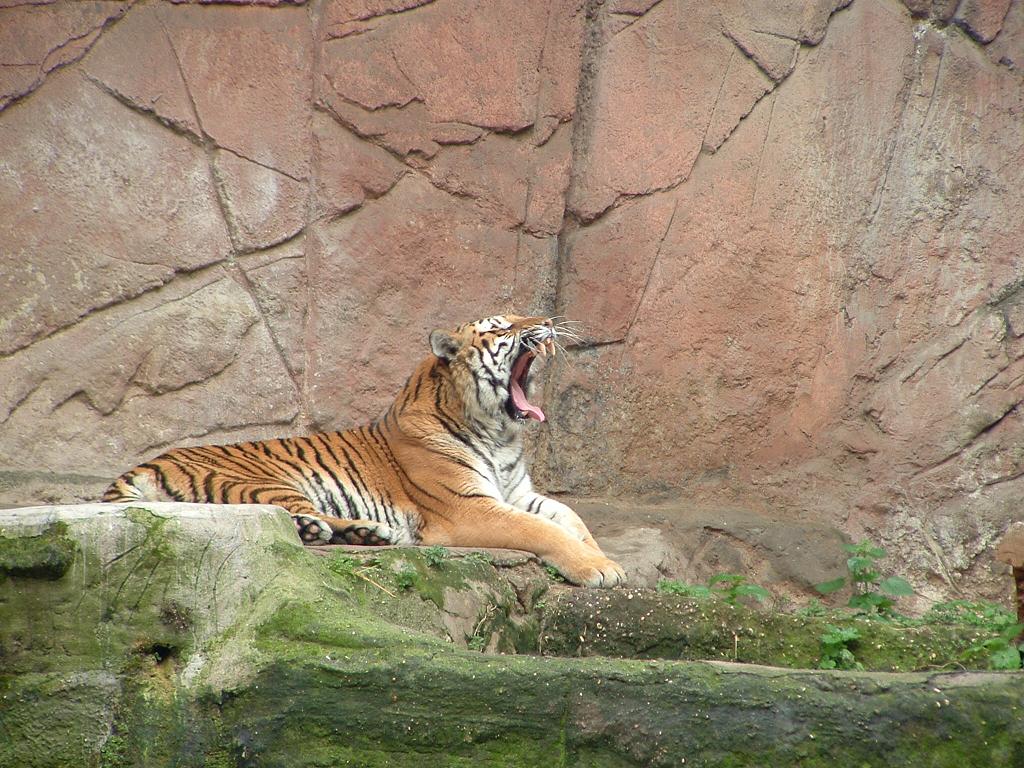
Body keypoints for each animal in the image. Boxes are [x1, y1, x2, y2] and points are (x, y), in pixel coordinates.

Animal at [103, 314, 625, 588]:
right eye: (502, 328)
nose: (549, 321)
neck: (498, 432)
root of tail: (146, 463)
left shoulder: (517, 494)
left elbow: (572, 519)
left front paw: (603, 558)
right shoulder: (468, 507)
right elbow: (544, 531)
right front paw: (601, 569)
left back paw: (365, 533)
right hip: (263, 481)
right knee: (290, 517)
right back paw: (370, 531)